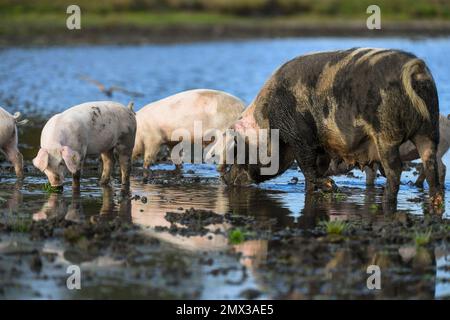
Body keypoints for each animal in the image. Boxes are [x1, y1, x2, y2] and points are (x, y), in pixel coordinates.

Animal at [214, 47, 442, 208]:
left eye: (237, 147)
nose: (225, 178)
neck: (268, 120)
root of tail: (414, 70)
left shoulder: (300, 136)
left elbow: (307, 165)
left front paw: (331, 186)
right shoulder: (321, 145)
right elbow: (313, 170)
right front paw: (313, 190)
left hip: (387, 132)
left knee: (395, 169)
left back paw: (388, 201)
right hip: (430, 128)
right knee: (430, 164)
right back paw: (436, 200)